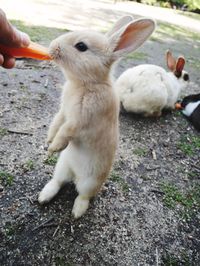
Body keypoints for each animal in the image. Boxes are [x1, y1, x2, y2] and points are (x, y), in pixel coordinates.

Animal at [38, 15, 155, 217]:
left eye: (81, 46)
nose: (53, 47)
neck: (87, 83)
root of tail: (75, 175)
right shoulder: (64, 111)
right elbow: (56, 123)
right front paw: (48, 142)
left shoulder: (80, 120)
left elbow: (66, 131)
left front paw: (53, 147)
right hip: (62, 166)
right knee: (58, 181)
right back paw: (43, 197)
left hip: (90, 182)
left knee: (83, 195)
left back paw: (77, 212)